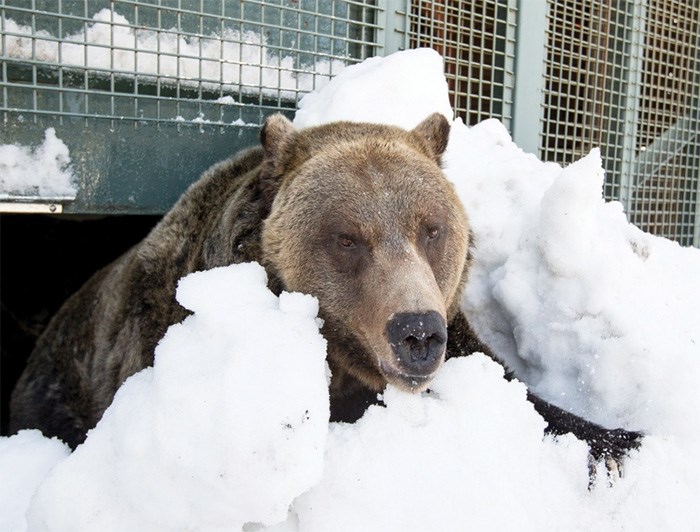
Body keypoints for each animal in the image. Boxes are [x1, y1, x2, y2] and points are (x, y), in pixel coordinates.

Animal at [9, 113, 640, 470]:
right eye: (346, 237)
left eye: (431, 228)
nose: (416, 332)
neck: (345, 360)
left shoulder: (457, 333)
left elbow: (524, 393)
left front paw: (619, 441)